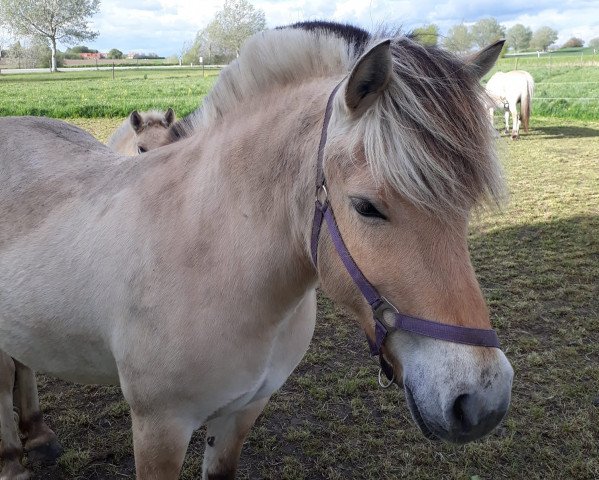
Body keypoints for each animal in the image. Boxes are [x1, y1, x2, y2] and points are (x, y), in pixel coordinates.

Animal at [0, 23, 516, 480]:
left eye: (466, 205)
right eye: (366, 207)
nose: (482, 401)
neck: (212, 253)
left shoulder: (243, 412)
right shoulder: (159, 427)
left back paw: (37, 436)